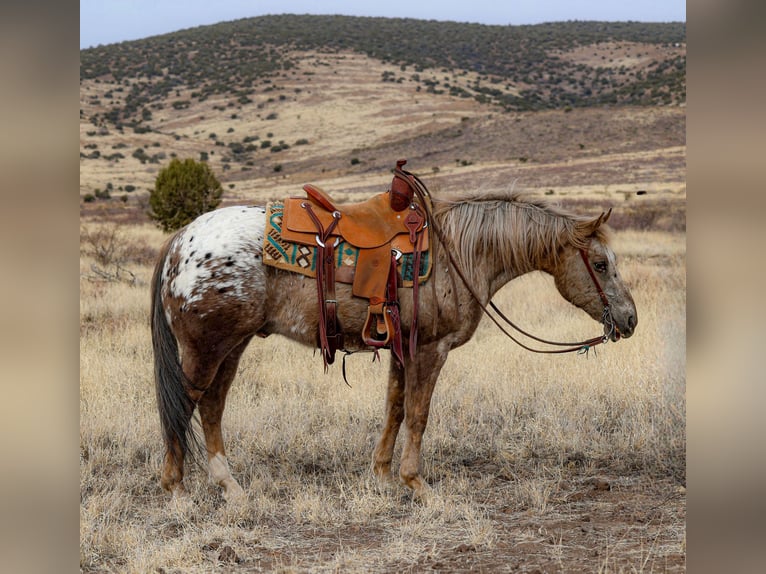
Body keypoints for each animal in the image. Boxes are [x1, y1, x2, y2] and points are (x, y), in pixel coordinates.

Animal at [150, 188, 636, 500]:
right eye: (599, 264)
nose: (630, 319)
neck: (462, 254)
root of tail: (179, 241)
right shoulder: (430, 349)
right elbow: (419, 414)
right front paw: (415, 483)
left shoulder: (402, 348)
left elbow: (395, 408)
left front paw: (383, 474)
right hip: (207, 346)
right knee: (185, 404)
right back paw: (176, 487)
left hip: (233, 344)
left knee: (212, 405)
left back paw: (229, 486)